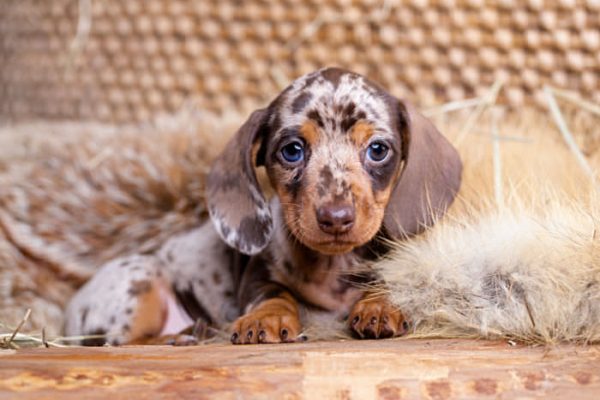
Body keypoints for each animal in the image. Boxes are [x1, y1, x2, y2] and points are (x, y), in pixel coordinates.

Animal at [64, 68, 460, 344]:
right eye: (292, 150)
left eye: (378, 150)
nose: (335, 218)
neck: (330, 267)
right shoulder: (257, 275)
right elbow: (273, 293)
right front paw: (266, 318)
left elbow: (383, 283)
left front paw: (379, 305)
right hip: (140, 277)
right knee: (120, 341)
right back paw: (176, 337)